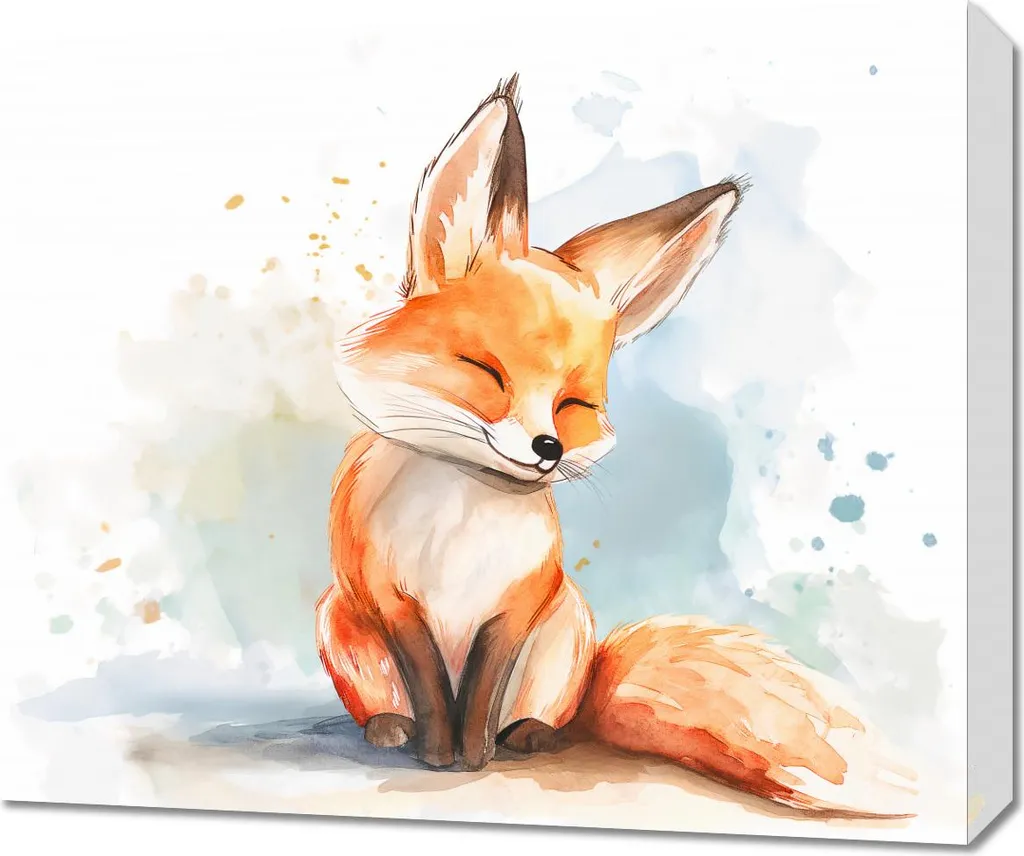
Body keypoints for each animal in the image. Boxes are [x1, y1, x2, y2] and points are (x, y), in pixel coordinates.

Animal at [317, 76, 915, 817]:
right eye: (486, 372)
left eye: (574, 405)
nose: (546, 446)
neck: (463, 511)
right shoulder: (392, 600)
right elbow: (431, 686)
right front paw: (438, 754)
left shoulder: (516, 605)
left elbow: (480, 692)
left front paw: (473, 755)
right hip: (338, 621)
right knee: (389, 703)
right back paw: (388, 728)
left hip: (566, 629)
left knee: (546, 715)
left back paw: (530, 736)